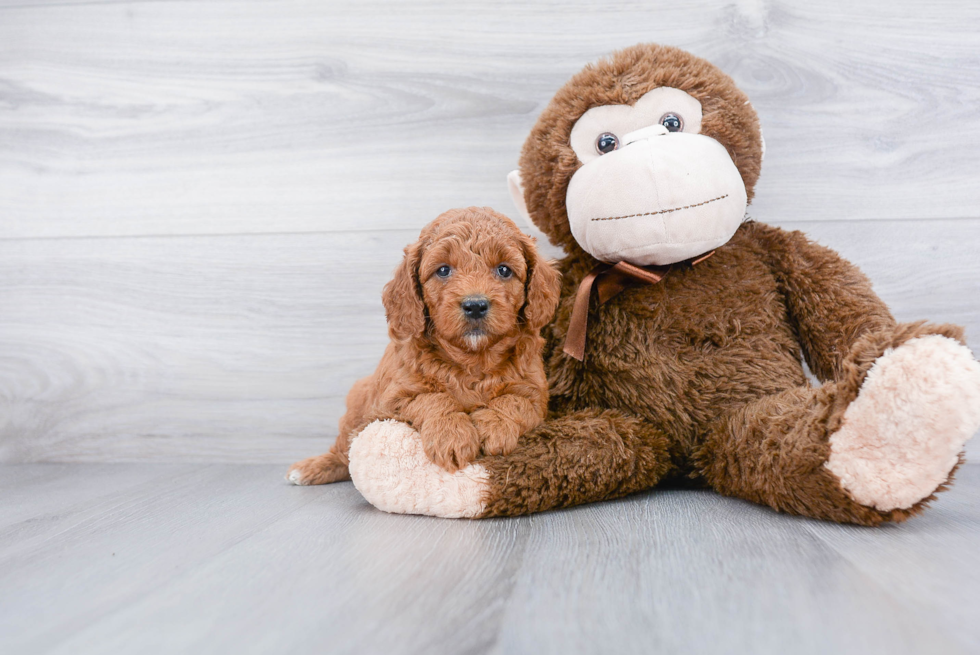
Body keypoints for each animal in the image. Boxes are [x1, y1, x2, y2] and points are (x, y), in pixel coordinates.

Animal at [288, 208, 560, 484]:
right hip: (357, 404)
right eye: (443, 270)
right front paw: (451, 436)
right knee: (344, 451)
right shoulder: (393, 398)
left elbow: (514, 401)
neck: (472, 359)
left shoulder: (536, 396)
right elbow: (433, 398)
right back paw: (312, 467)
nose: (475, 305)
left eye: (504, 270)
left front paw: (494, 426)